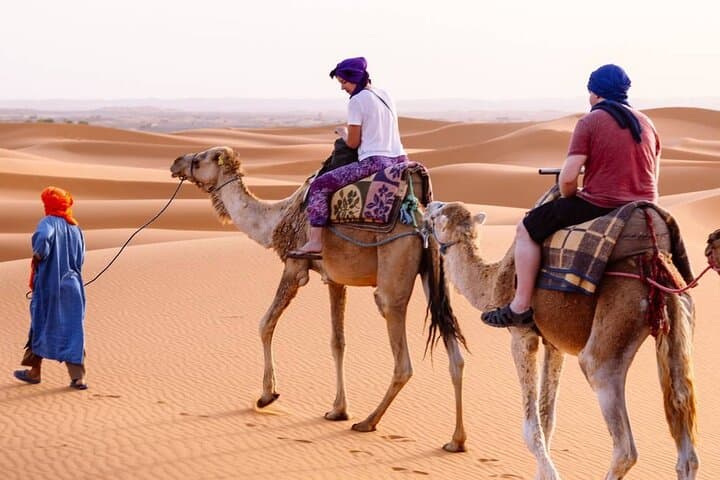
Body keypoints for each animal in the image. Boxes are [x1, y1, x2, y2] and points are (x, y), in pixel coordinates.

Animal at [170, 146, 468, 452]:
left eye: (199, 159)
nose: (176, 162)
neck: (275, 219)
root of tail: (422, 217)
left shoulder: (294, 266)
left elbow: (265, 324)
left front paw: (267, 395)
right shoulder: (335, 279)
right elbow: (338, 342)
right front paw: (338, 409)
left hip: (394, 266)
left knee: (401, 355)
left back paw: (368, 422)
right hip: (434, 277)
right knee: (455, 354)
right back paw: (456, 440)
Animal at [422, 201, 698, 480]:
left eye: (437, 215)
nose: (429, 205)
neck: (493, 280)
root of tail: (655, 260)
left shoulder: (522, 336)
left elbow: (531, 427)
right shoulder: (554, 344)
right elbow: (547, 420)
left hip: (617, 321)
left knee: (623, 445)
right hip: (677, 324)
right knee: (685, 439)